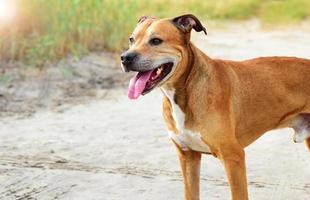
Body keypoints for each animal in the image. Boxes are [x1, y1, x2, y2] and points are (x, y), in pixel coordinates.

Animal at [120, 13, 308, 199]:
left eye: (156, 41)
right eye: (131, 39)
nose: (125, 58)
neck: (185, 91)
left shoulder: (233, 157)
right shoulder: (188, 158)